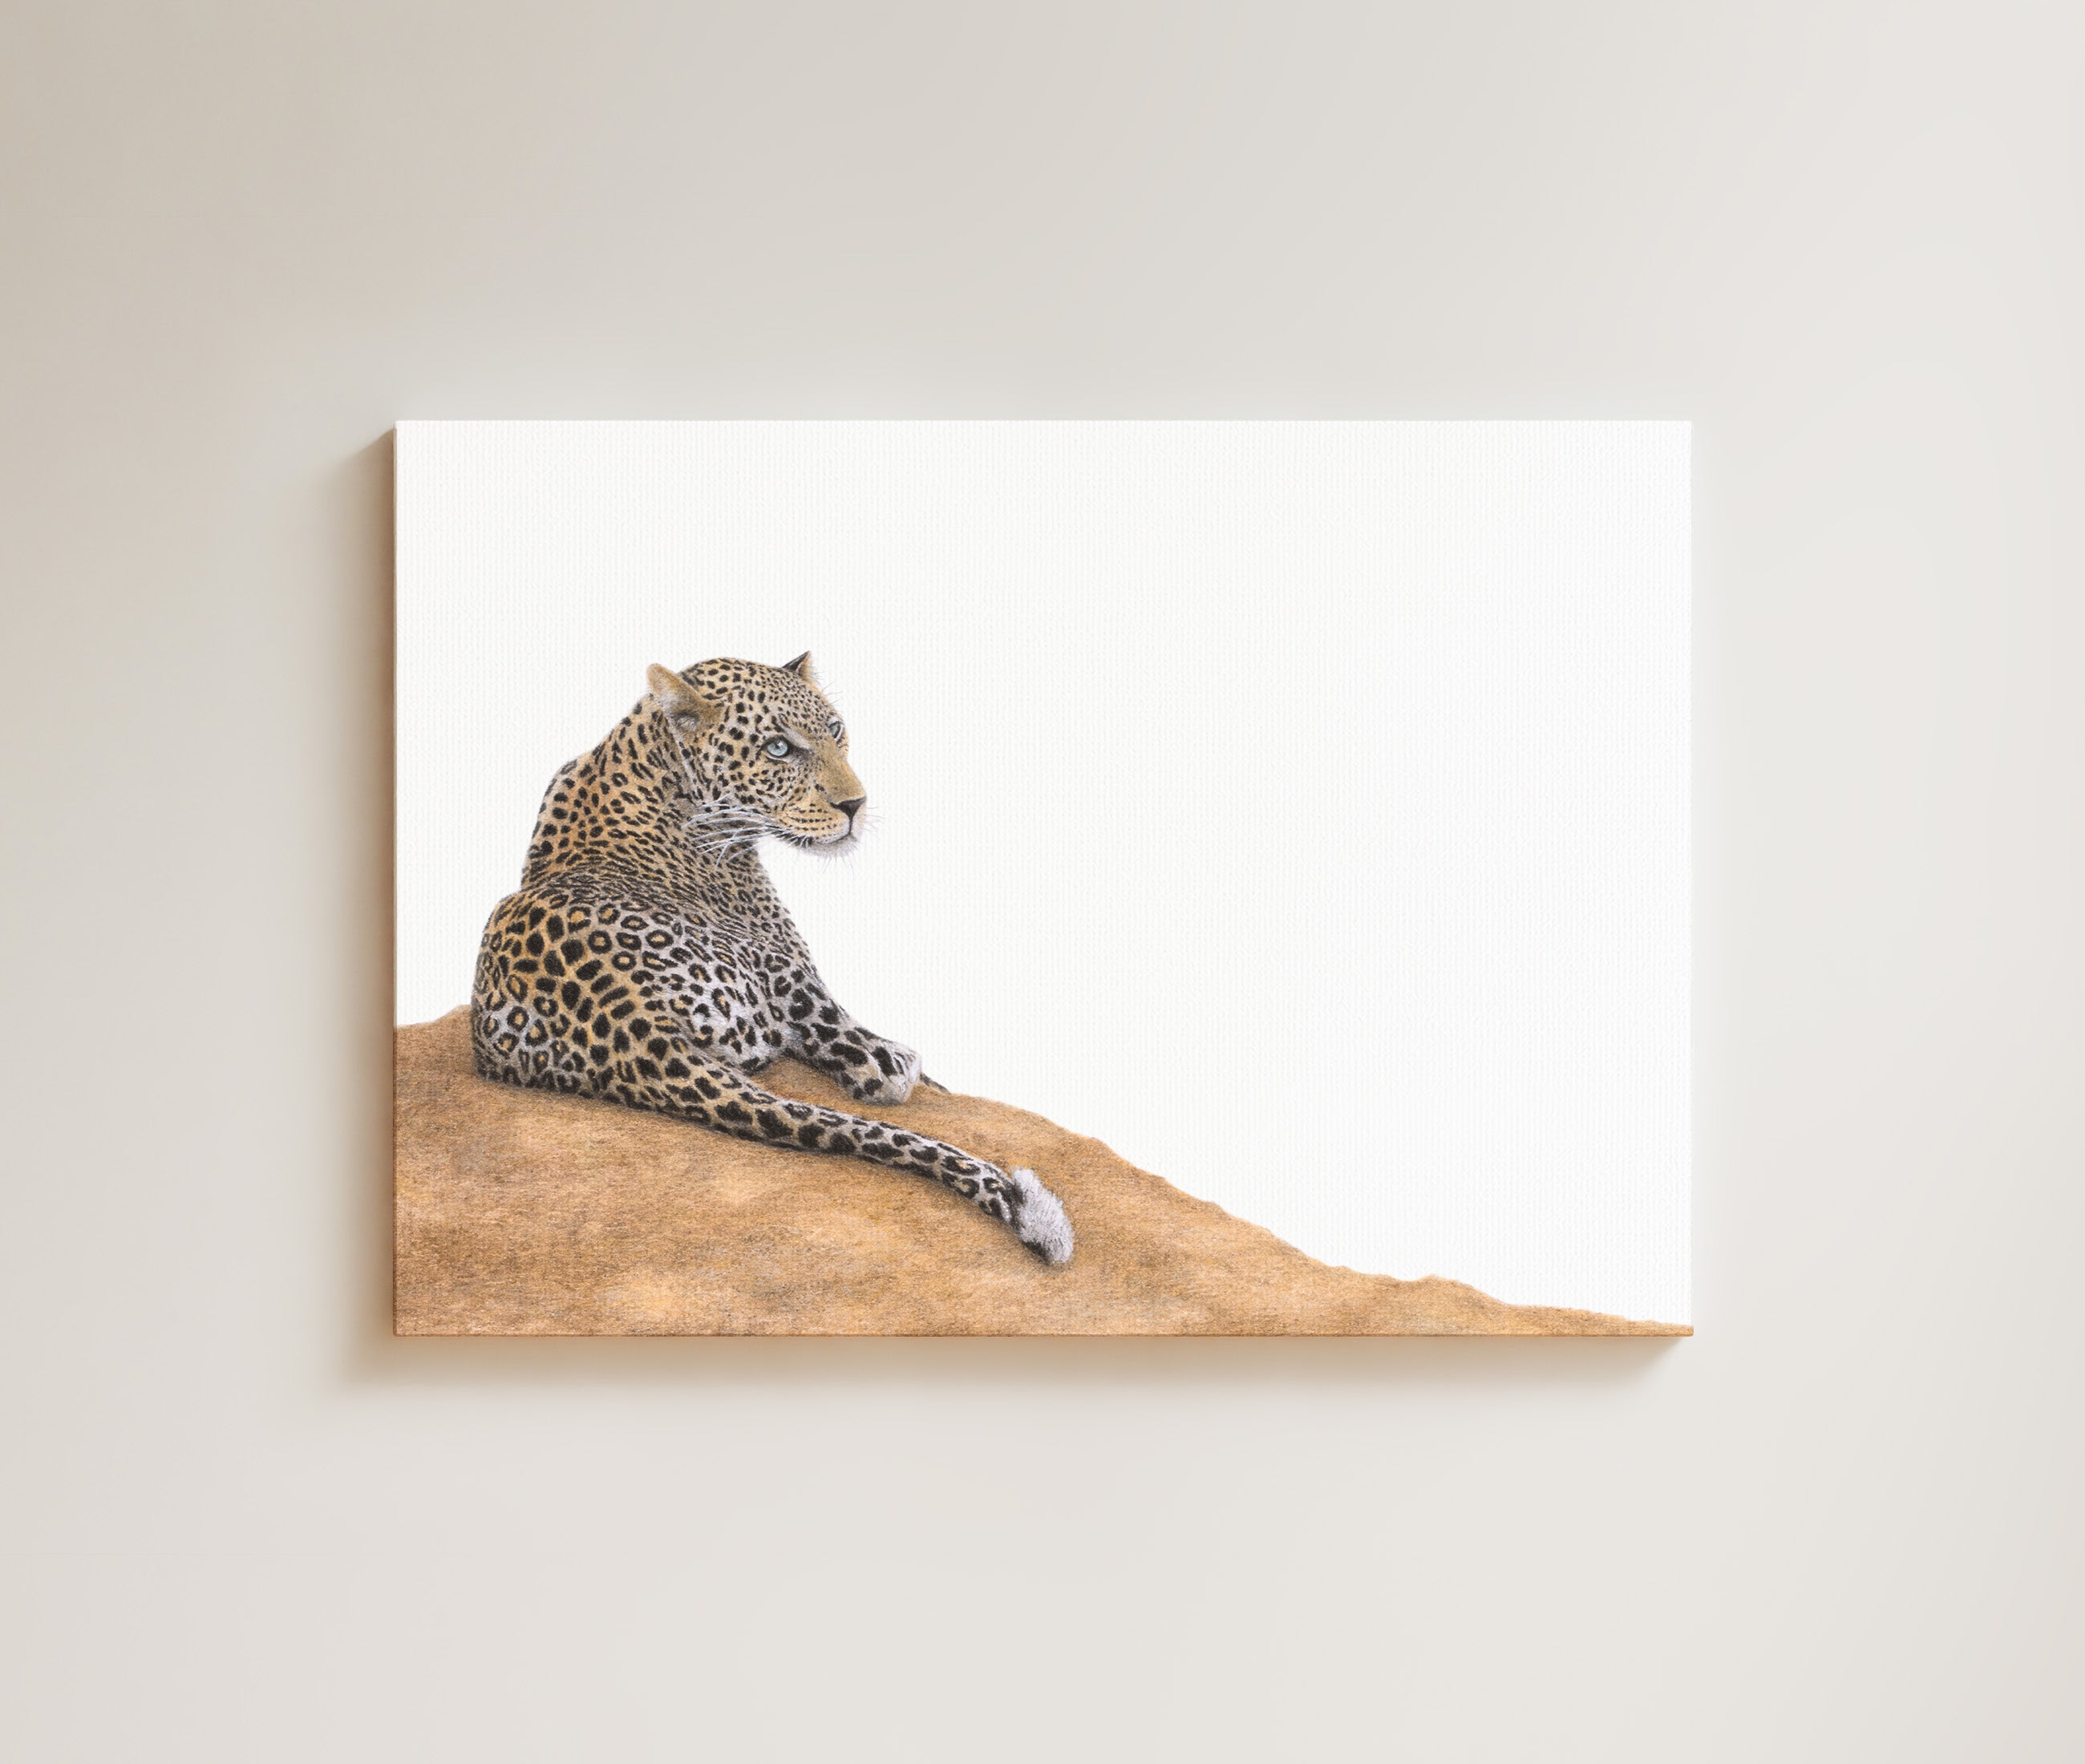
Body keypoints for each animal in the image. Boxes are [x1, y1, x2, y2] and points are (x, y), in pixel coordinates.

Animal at [469, 653, 1075, 1264]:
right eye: (779, 748)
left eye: (835, 730)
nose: (855, 805)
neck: (642, 760)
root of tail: (629, 1025)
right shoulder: (788, 957)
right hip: (775, 975)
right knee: (861, 1063)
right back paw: (897, 1062)